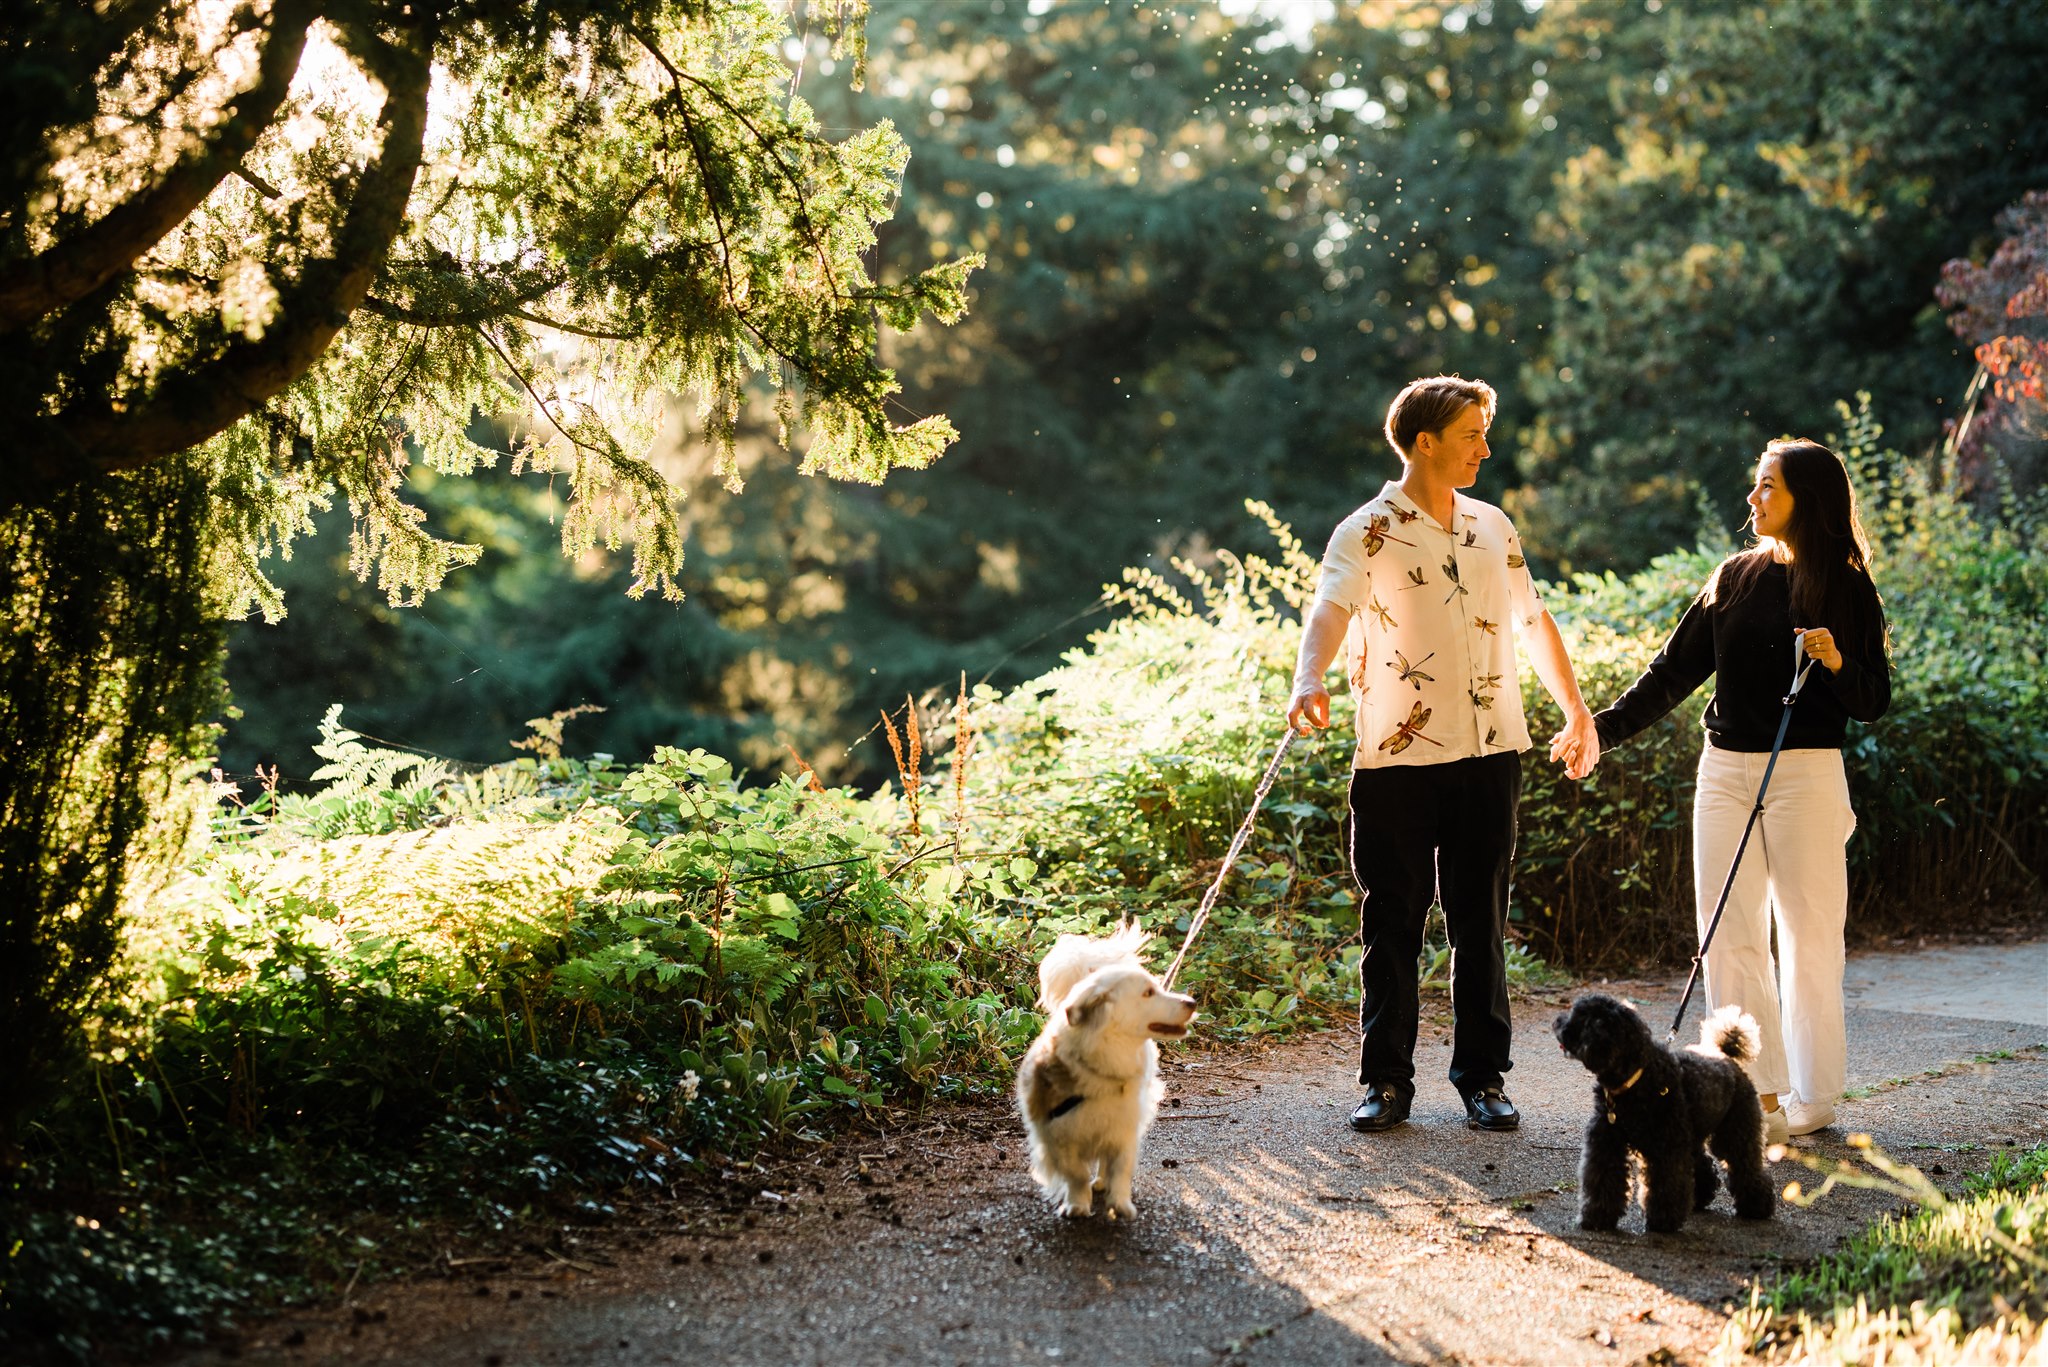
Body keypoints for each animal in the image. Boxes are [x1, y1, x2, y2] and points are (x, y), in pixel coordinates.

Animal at [1011, 926, 1196, 1221]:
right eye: (1148, 993)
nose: (1192, 1001)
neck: (1104, 1068)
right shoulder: (1058, 1138)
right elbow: (1075, 1174)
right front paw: (1077, 1204)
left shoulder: (1123, 1132)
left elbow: (1119, 1171)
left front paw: (1120, 1203)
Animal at [1548, 987, 1777, 1237]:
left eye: (1579, 1017)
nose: (1557, 1022)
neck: (1635, 1078)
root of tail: (1727, 1057)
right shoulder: (1606, 1143)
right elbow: (1602, 1179)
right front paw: (1597, 1217)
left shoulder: (1666, 1148)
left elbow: (1666, 1184)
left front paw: (1663, 1221)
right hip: (1693, 1136)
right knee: (1701, 1164)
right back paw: (1700, 1198)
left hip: (1735, 1132)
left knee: (1746, 1166)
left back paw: (1757, 1206)